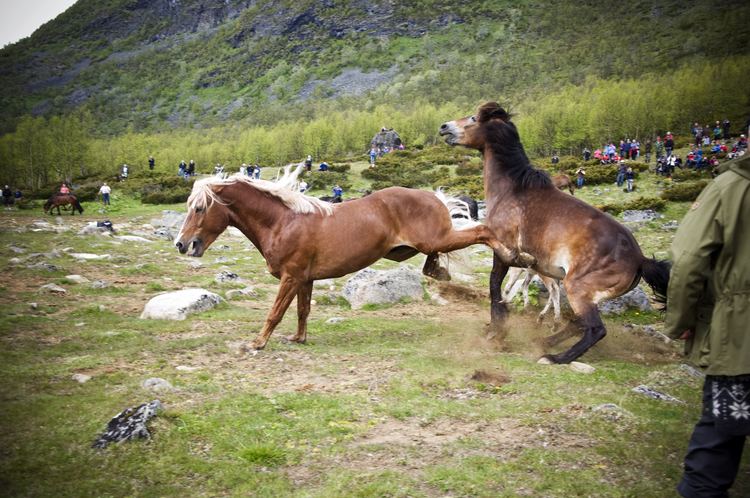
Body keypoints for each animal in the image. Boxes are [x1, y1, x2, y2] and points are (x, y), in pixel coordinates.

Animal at [175, 166, 512, 350]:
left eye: (199, 208)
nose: (182, 244)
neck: (284, 221)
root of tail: (433, 196)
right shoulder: (304, 279)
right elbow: (302, 311)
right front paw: (298, 338)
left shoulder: (291, 277)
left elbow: (275, 313)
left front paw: (257, 343)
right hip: (423, 244)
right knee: (437, 258)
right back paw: (442, 271)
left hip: (438, 237)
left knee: (482, 231)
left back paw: (509, 252)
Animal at [438, 103, 672, 364]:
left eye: (473, 118)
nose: (444, 127)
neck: (512, 190)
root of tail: (641, 260)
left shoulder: (504, 250)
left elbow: (494, 285)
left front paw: (497, 328)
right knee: (579, 323)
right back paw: (545, 341)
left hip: (577, 287)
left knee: (595, 328)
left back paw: (556, 356)